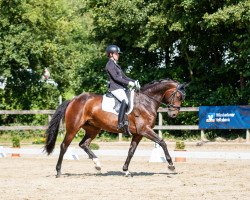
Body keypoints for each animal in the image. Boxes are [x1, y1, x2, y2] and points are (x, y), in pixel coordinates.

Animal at [45, 79, 187, 177]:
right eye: (178, 96)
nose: (173, 114)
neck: (146, 101)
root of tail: (73, 100)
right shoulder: (144, 130)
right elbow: (162, 142)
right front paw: (171, 165)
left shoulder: (138, 134)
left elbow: (131, 151)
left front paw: (126, 170)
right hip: (73, 128)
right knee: (64, 146)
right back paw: (58, 171)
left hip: (93, 129)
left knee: (83, 144)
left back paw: (97, 164)